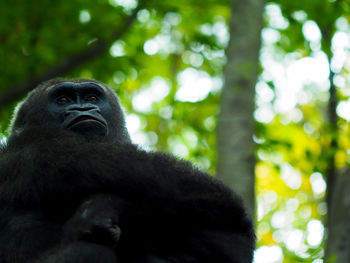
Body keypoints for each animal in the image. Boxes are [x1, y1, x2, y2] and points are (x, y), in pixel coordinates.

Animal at [0, 79, 254, 263]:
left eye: (92, 97)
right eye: (63, 100)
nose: (83, 108)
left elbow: (228, 243)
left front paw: (99, 209)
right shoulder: (49, 145)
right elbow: (228, 212)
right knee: (89, 250)